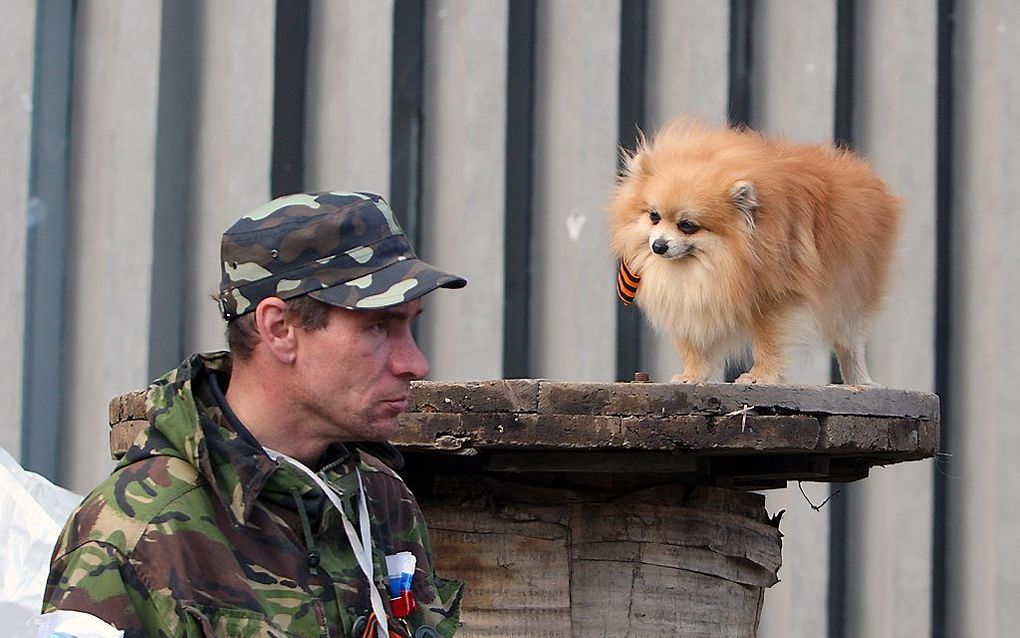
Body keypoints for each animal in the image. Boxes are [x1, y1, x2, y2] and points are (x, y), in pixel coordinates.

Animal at [603, 117, 901, 385]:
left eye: (687, 226)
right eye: (654, 216)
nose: (659, 245)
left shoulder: (775, 298)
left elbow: (768, 343)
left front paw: (761, 376)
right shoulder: (690, 297)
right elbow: (694, 345)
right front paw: (693, 375)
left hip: (849, 291)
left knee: (850, 343)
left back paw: (859, 381)